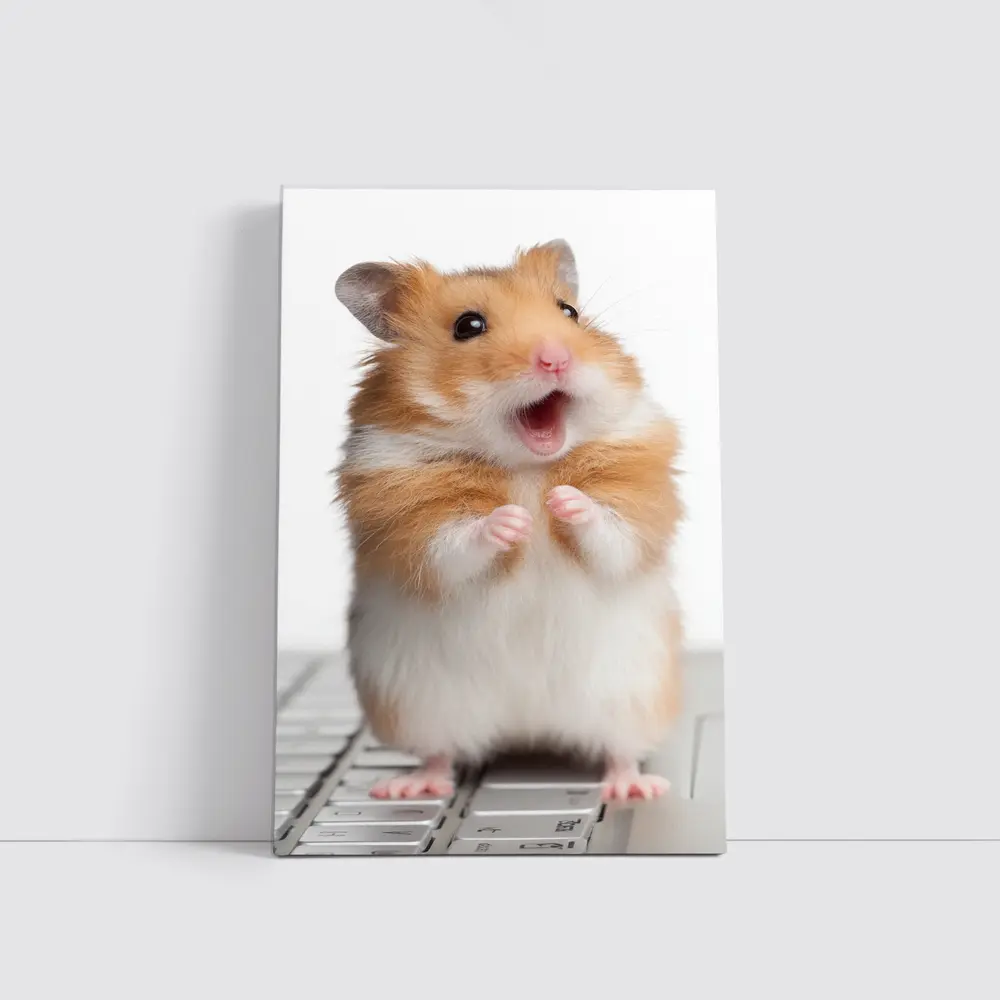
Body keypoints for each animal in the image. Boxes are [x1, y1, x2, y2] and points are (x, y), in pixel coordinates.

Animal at [333, 239, 683, 802]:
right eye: (468, 326)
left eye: (569, 312)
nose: (557, 358)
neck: (526, 466)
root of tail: (528, 731)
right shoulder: (409, 527)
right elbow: (454, 545)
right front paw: (513, 519)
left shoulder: (638, 506)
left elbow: (612, 535)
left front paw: (562, 501)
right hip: (419, 705)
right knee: (439, 753)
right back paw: (407, 788)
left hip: (634, 695)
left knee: (622, 750)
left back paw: (634, 788)